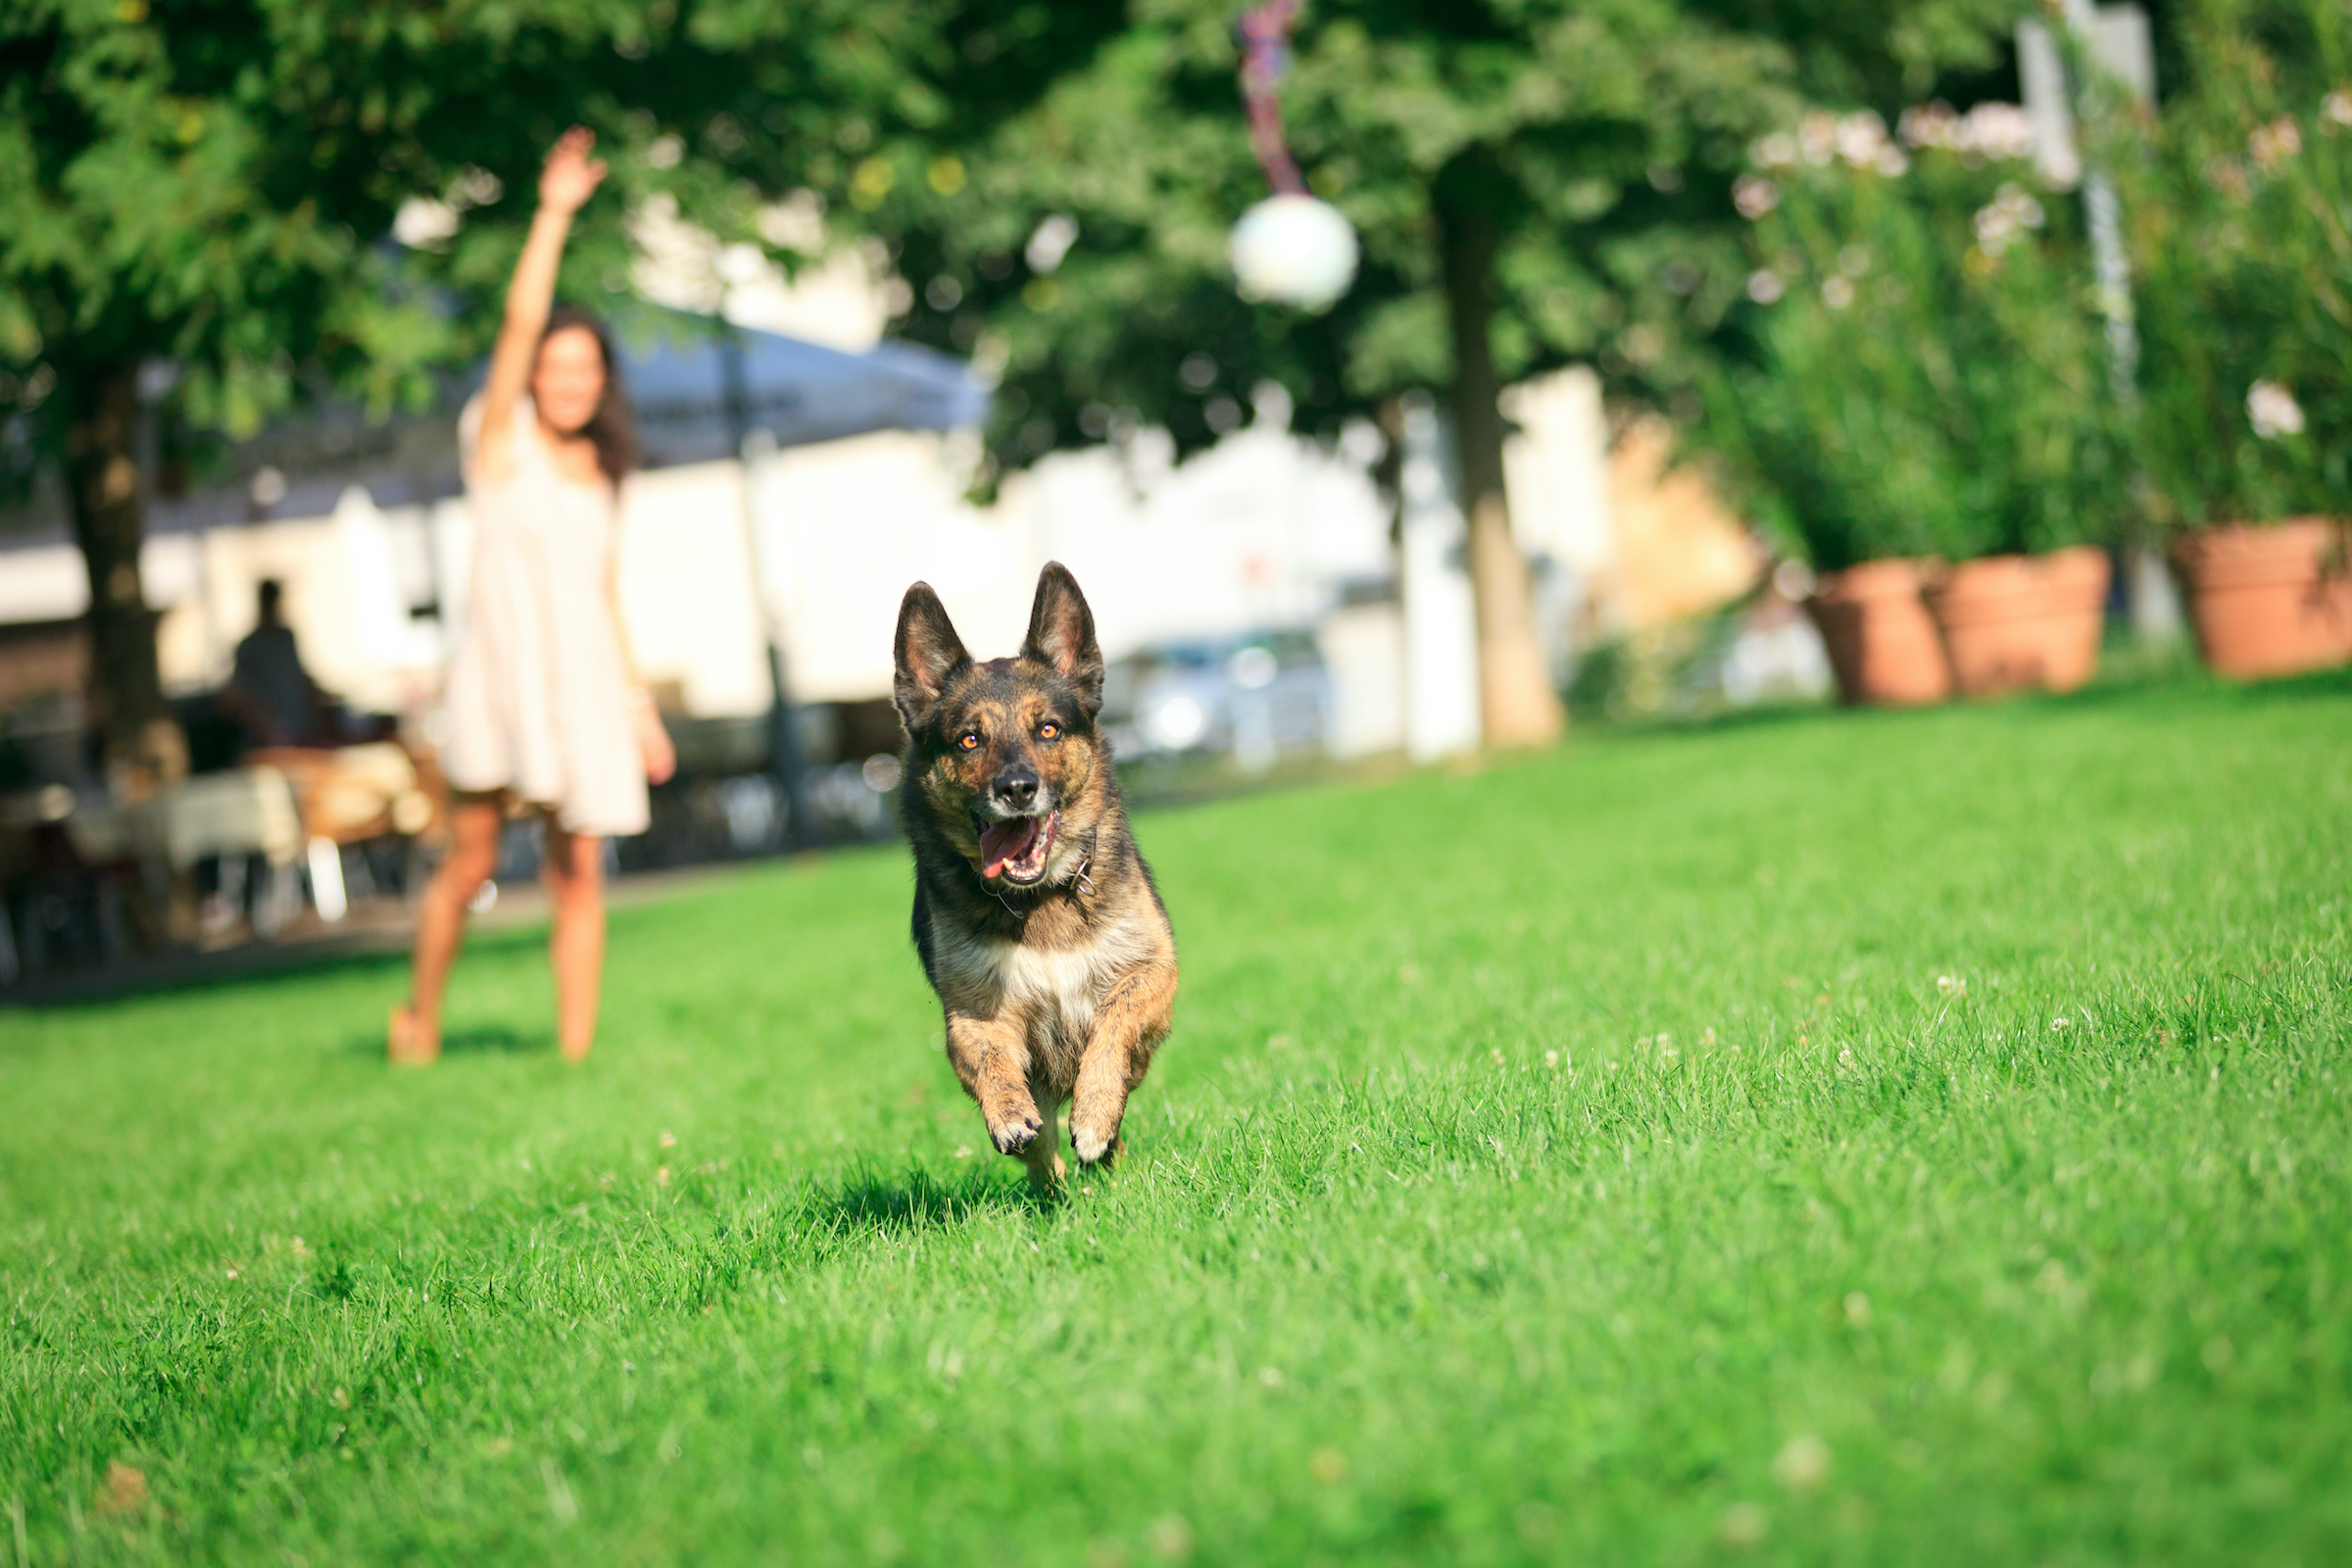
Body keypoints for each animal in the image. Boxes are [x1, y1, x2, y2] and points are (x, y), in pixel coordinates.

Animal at [889, 564, 1176, 1189]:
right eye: (970, 739)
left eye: (1047, 730)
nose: (1017, 789)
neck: (1039, 899)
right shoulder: (972, 1015)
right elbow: (992, 1061)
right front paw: (1008, 1112)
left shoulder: (1153, 974)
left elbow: (1112, 1028)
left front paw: (1094, 1113)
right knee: (1043, 1160)